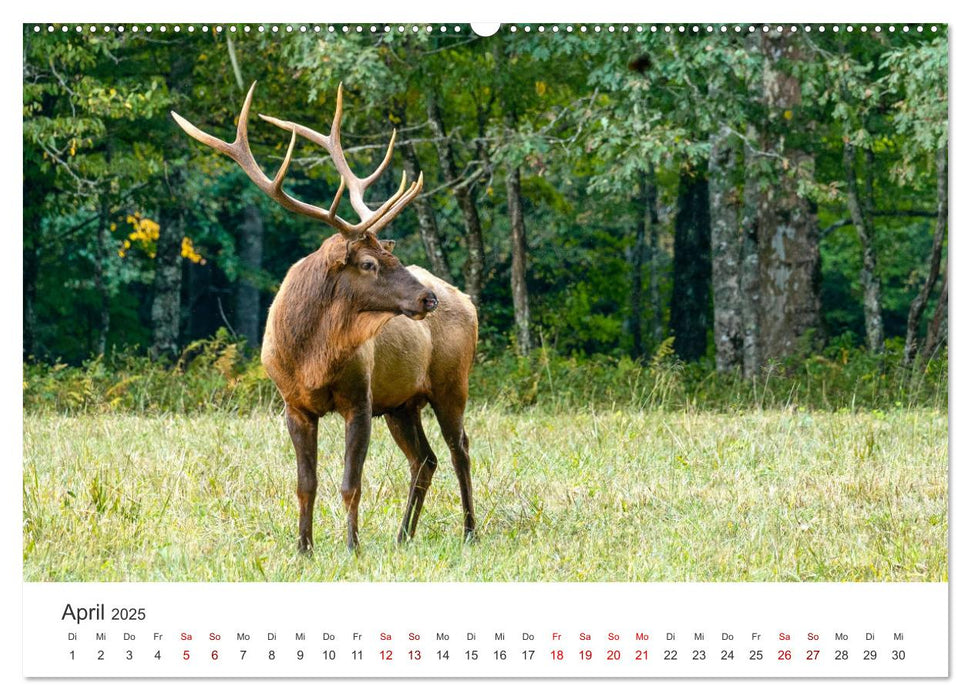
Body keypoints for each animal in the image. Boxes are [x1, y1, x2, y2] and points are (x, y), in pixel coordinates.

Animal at [176, 83, 482, 552]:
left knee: (459, 449)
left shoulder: (360, 398)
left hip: (451, 383)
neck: (310, 357)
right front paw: (304, 547)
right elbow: (307, 484)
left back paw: (469, 531)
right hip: (403, 403)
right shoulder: (294, 404)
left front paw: (352, 546)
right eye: (370, 263)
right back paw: (403, 535)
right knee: (424, 459)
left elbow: (350, 483)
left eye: (392, 256)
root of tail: (467, 300)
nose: (427, 298)